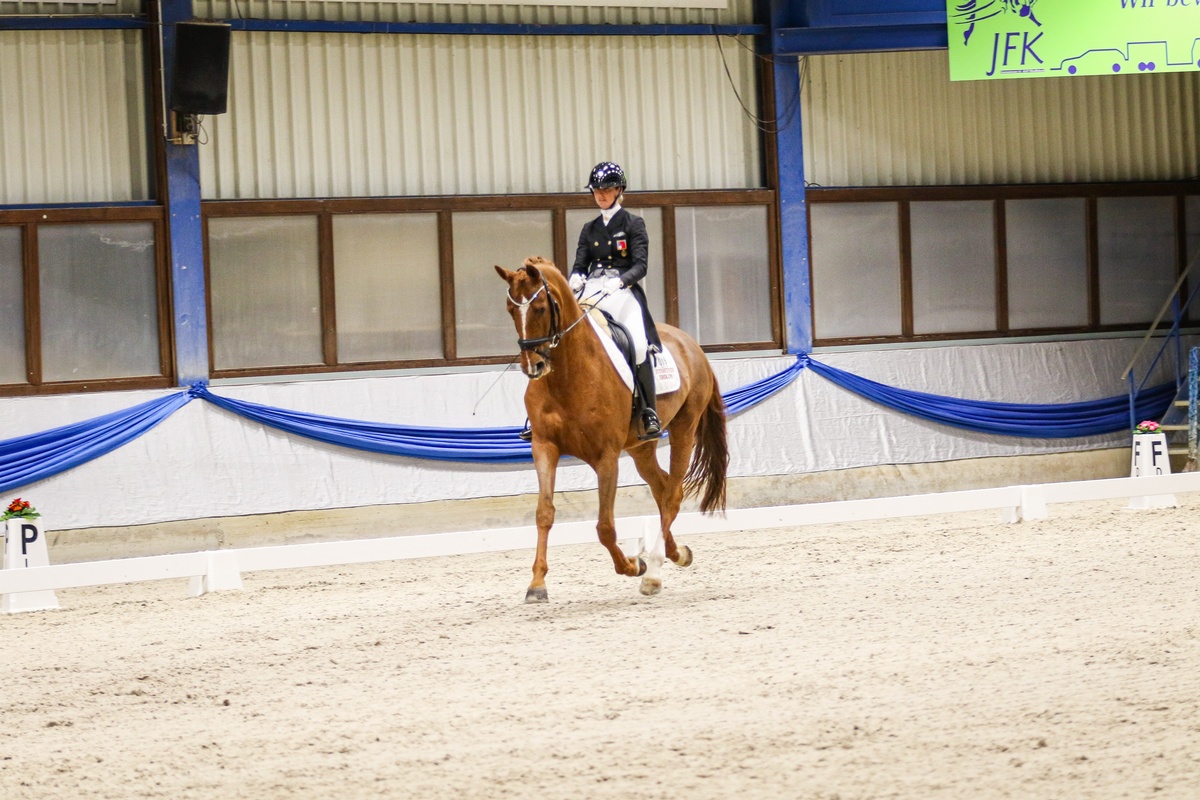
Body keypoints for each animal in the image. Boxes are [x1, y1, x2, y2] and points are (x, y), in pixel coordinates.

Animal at [495, 256, 728, 602]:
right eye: (511, 310)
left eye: (539, 308)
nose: (532, 366)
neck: (568, 372)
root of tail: (691, 345)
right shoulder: (544, 447)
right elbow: (544, 513)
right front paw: (536, 584)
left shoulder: (606, 456)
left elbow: (605, 527)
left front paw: (633, 565)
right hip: (641, 446)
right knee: (662, 489)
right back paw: (677, 553)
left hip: (685, 428)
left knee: (673, 493)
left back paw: (653, 572)